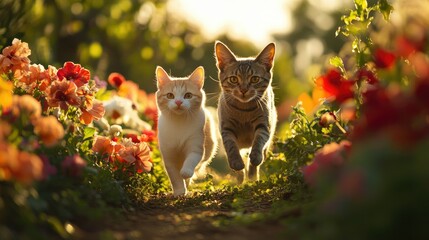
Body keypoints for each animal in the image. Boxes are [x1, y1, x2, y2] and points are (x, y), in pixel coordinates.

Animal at [155, 66, 217, 197]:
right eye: (170, 95)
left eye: (188, 95)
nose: (178, 102)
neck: (179, 123)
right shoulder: (169, 156)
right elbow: (174, 176)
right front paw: (179, 191)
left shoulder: (196, 145)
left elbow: (191, 160)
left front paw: (186, 172)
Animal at [214, 40, 278, 182]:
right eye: (233, 79)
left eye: (255, 79)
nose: (243, 90)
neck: (244, 111)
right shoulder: (226, 128)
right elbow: (231, 146)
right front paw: (236, 163)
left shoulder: (264, 125)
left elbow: (259, 140)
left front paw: (255, 157)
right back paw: (240, 177)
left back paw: (252, 177)